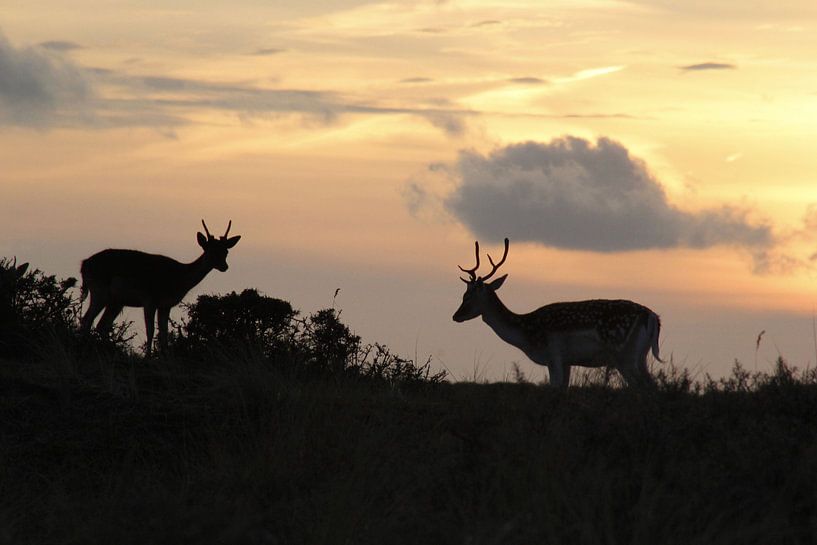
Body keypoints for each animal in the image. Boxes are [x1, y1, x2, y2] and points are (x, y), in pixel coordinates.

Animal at [80, 220, 241, 356]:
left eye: (226, 251)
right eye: (210, 250)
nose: (224, 266)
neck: (179, 278)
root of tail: (84, 265)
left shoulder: (165, 305)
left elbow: (164, 334)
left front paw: (165, 357)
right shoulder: (149, 300)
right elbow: (150, 331)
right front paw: (148, 357)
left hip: (116, 302)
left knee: (101, 325)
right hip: (100, 291)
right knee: (87, 319)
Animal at [453, 238, 663, 388]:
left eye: (468, 296)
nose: (456, 316)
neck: (528, 334)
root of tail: (653, 317)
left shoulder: (553, 355)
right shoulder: (566, 361)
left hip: (624, 353)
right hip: (640, 355)